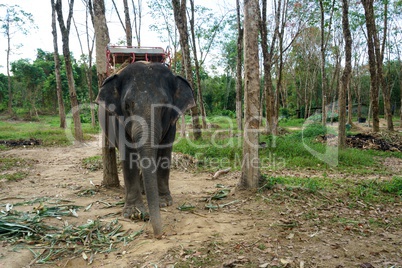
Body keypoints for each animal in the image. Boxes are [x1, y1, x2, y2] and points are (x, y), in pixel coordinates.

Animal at [94, 61, 195, 238]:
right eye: (127, 105)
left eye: (164, 106)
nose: (159, 235)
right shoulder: (118, 120)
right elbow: (128, 154)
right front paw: (134, 213)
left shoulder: (172, 124)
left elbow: (165, 152)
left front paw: (164, 202)